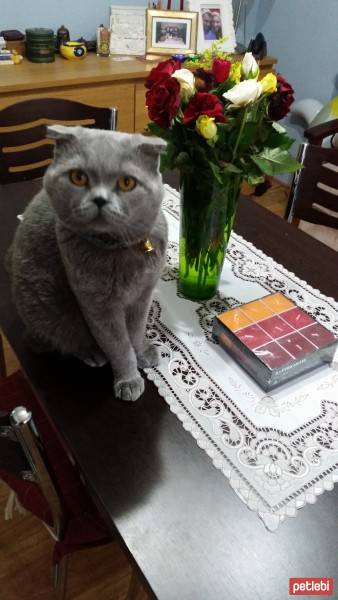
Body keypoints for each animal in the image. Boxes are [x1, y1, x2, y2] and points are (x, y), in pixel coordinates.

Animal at [9, 124, 168, 400]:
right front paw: (129, 380)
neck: (119, 250)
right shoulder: (98, 307)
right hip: (51, 308)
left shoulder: (143, 294)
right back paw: (93, 354)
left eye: (127, 182)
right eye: (78, 178)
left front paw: (144, 351)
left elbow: (136, 331)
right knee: (66, 337)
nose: (100, 199)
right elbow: (119, 345)